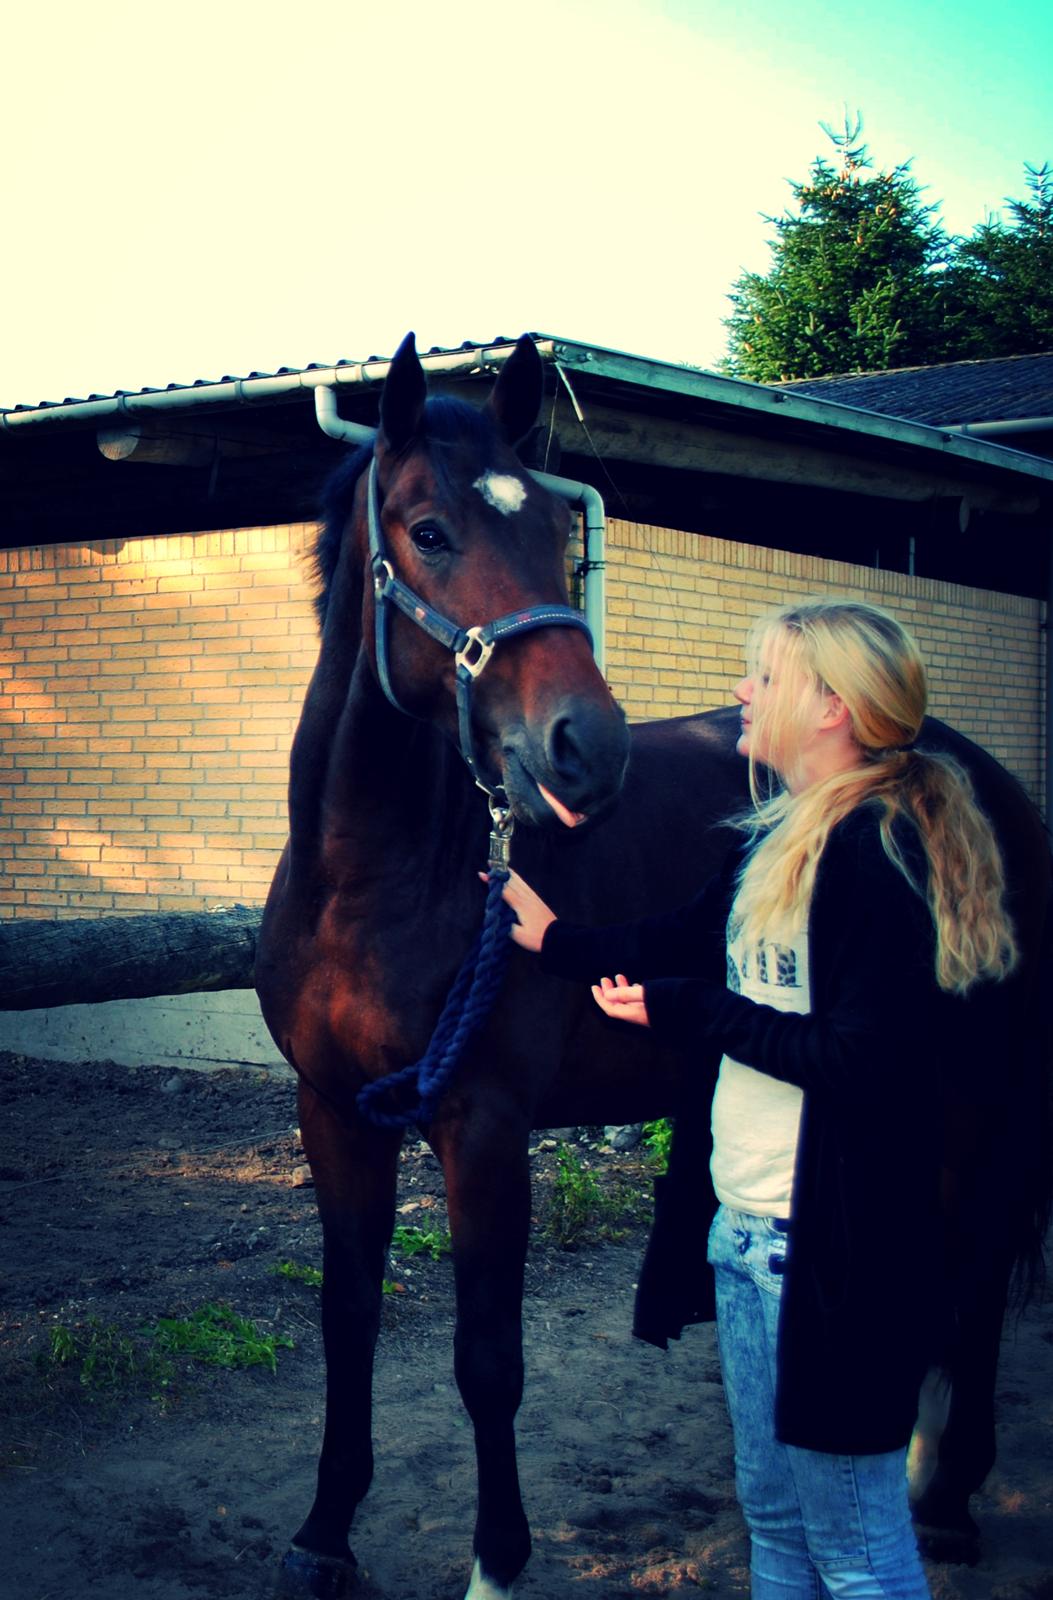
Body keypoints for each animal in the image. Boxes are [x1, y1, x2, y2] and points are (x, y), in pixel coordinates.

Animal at [256, 331, 1049, 1593]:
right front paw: (324, 1532)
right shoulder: (333, 1112)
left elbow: (488, 1359)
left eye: (559, 533)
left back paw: (950, 1499)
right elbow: (349, 1321)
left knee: (969, 1278)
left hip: (979, 1097)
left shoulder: (484, 1126)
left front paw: (497, 1561)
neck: (373, 883)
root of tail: (974, 774)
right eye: (428, 531)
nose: (588, 747)